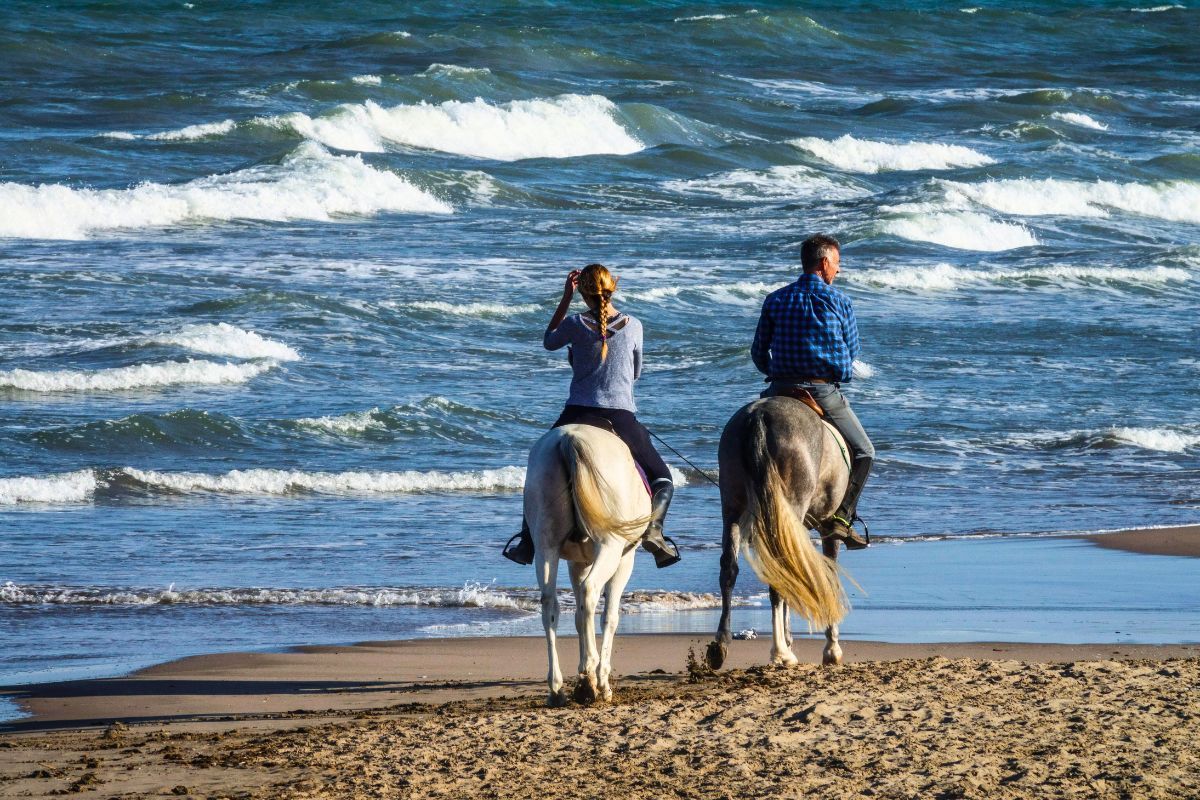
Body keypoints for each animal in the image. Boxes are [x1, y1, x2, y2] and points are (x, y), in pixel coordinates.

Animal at [524, 423, 651, 707]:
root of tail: (570, 438)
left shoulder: (577, 563)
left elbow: (579, 616)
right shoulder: (624, 560)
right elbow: (609, 616)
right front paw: (601, 680)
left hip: (546, 547)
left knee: (550, 604)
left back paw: (557, 688)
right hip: (610, 547)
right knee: (591, 590)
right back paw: (589, 673)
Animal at [706, 396, 852, 671]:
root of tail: (759, 415)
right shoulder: (827, 528)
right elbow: (829, 576)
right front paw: (831, 649)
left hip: (732, 506)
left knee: (729, 568)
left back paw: (721, 646)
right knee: (778, 571)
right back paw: (780, 653)